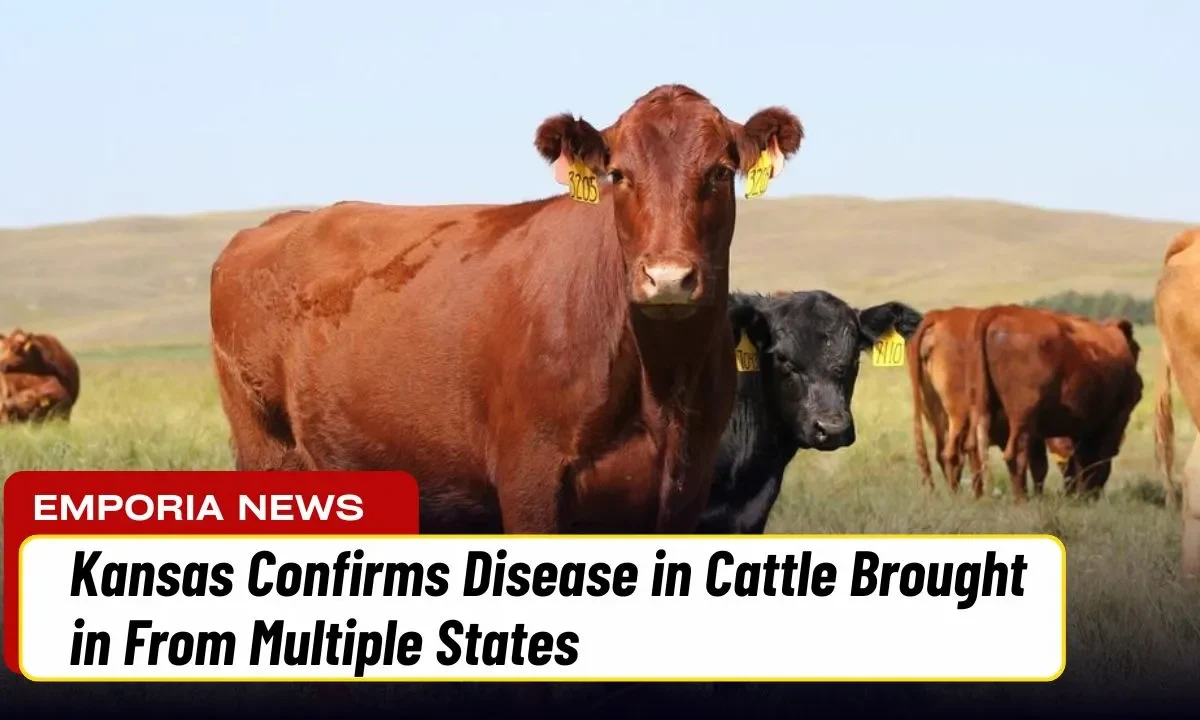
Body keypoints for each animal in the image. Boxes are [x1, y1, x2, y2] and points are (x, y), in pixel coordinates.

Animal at [208, 84, 805, 534]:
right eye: (619, 175)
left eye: (719, 173)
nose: (667, 277)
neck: (659, 383)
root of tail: (271, 227)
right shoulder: (530, 482)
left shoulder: (685, 487)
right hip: (268, 454)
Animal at [908, 307, 1076, 499]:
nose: (1072, 491)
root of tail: (941, 315)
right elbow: (1037, 466)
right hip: (958, 414)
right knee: (952, 454)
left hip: (934, 414)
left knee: (944, 453)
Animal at [966, 305, 1143, 504]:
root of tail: (998, 311)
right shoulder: (1114, 422)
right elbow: (1097, 462)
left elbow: (1070, 464)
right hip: (1022, 420)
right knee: (1016, 455)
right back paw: (1023, 500)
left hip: (982, 411)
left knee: (976, 450)